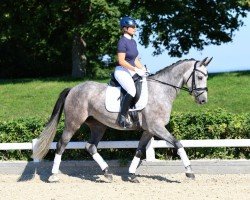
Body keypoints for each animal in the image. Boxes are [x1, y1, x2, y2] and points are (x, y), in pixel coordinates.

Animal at [32, 56, 212, 183]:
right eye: (200, 77)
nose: (203, 100)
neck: (161, 90)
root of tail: (74, 88)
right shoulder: (157, 127)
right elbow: (178, 143)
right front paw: (189, 172)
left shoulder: (148, 130)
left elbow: (139, 150)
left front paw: (131, 175)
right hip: (73, 123)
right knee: (61, 144)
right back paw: (54, 176)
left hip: (98, 126)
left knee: (90, 146)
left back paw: (107, 173)